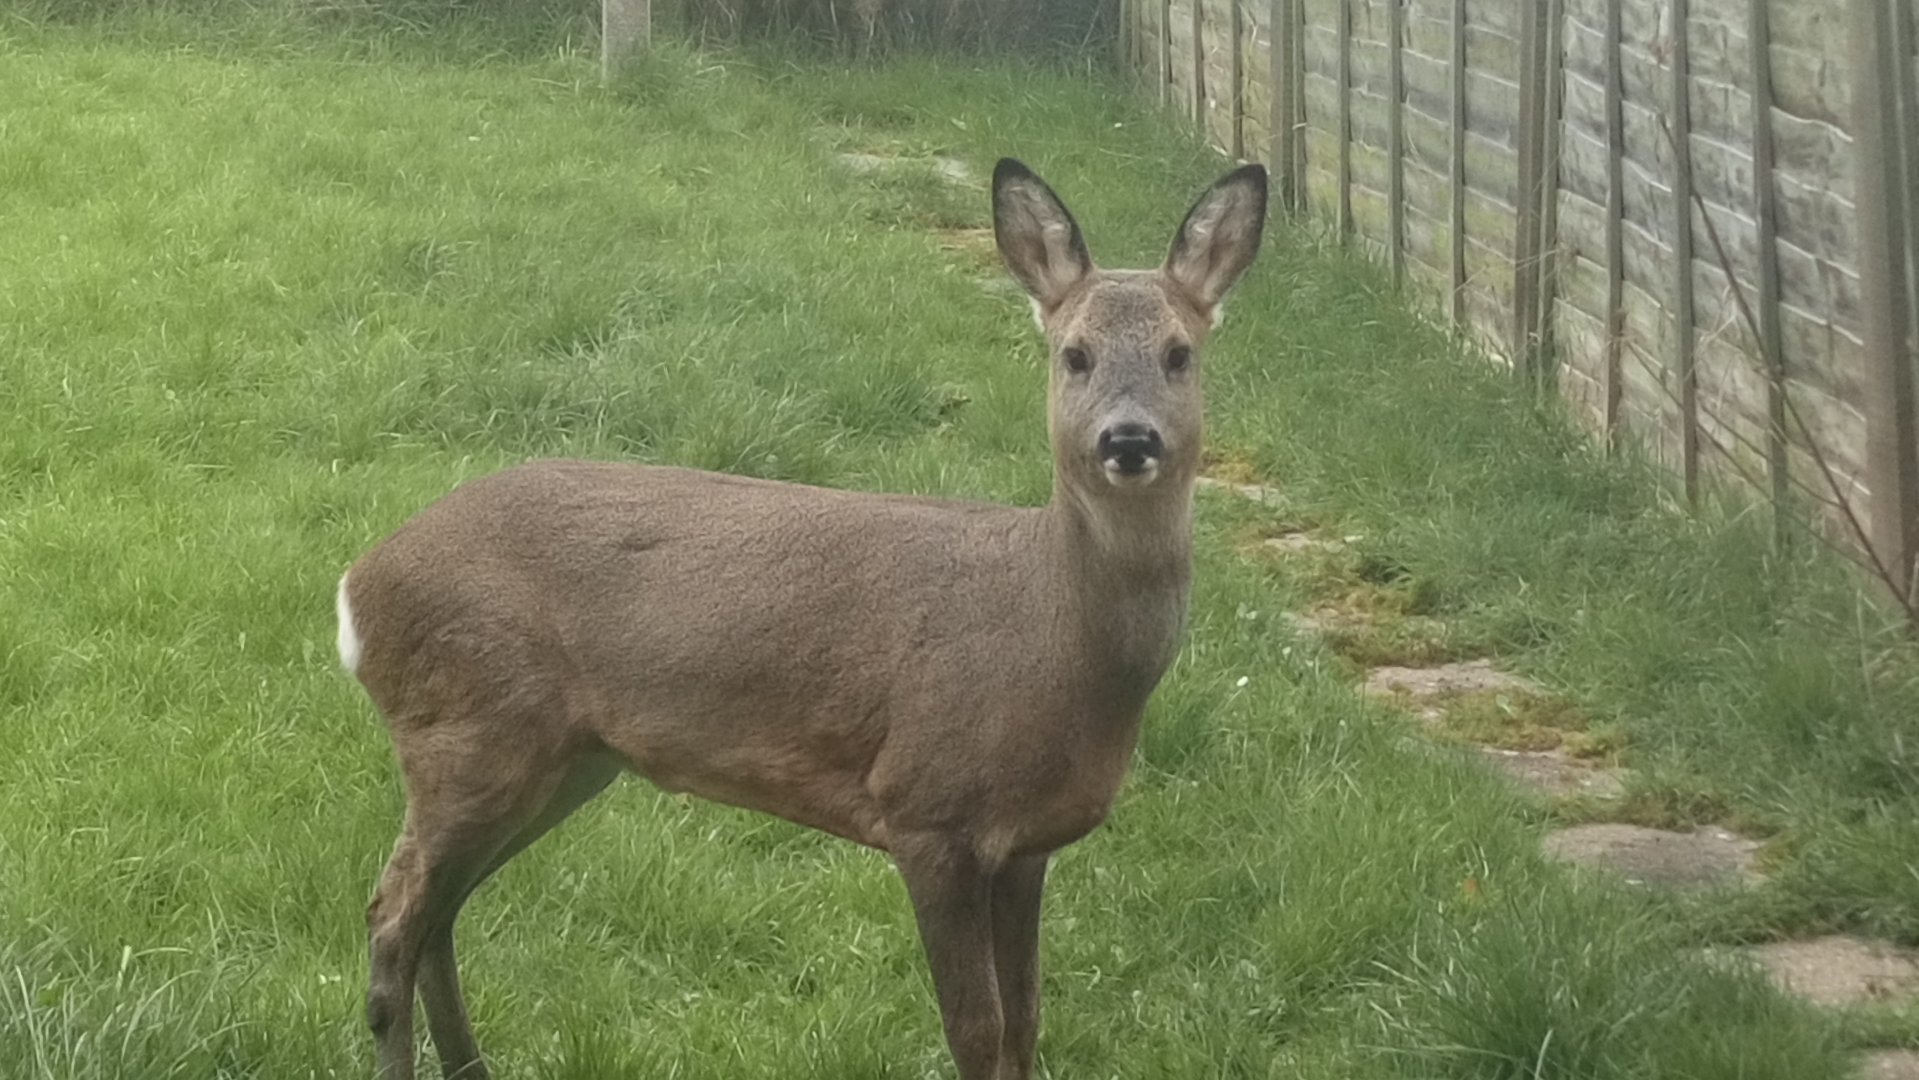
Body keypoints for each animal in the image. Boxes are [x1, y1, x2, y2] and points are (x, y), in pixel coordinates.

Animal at [336, 157, 1267, 1080]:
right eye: (1074, 355)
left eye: (1179, 354)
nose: (1128, 439)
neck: (1052, 633)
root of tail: (358, 586)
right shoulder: (926, 808)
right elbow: (976, 1029)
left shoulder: (1026, 846)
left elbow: (1025, 1024)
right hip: (466, 730)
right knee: (394, 913)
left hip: (563, 757)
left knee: (440, 913)